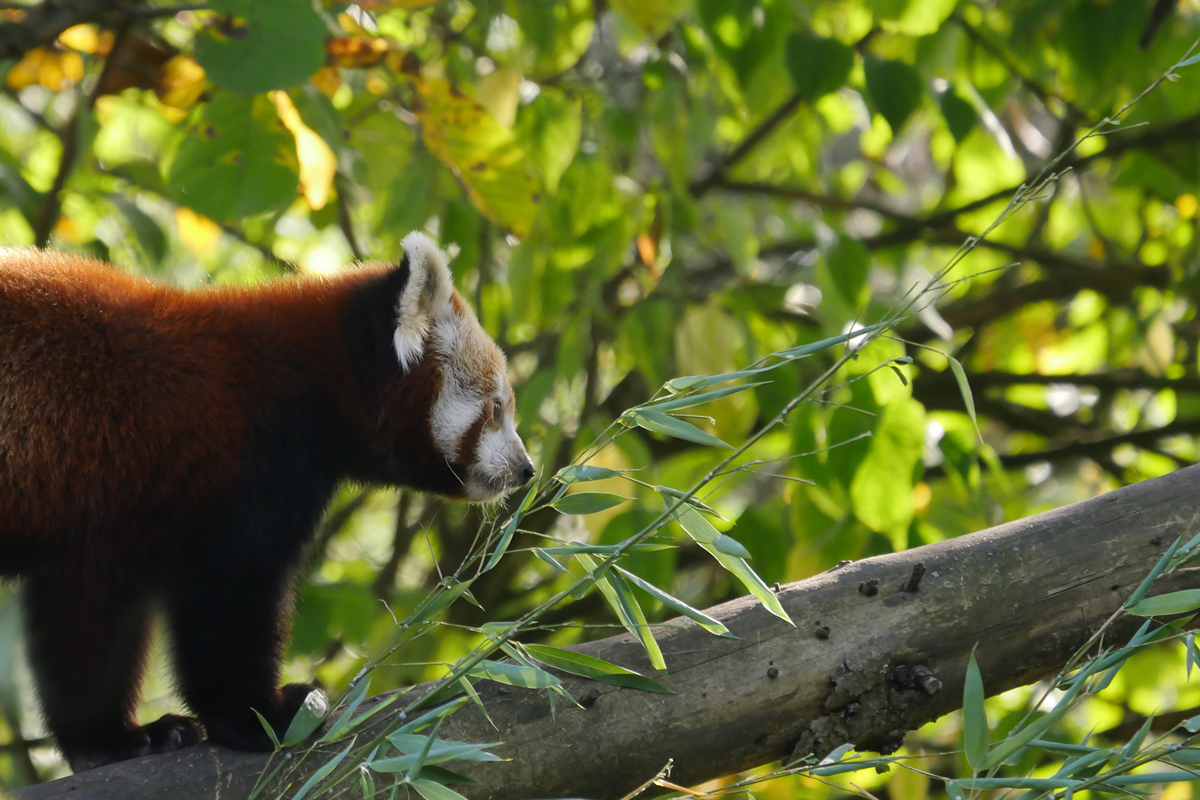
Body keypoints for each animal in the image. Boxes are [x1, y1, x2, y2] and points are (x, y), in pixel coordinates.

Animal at [0, 235, 535, 772]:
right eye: (496, 409)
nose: (527, 469)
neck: (310, 380)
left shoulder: (100, 513)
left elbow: (82, 619)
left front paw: (105, 739)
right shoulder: (239, 471)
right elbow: (228, 598)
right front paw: (263, 716)